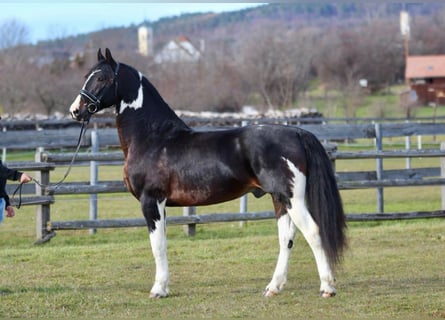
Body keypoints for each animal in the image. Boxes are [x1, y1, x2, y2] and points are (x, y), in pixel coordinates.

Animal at [69, 48, 346, 298]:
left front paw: (158, 290)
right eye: (86, 75)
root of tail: (297, 132)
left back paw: (327, 287)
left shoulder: (151, 200)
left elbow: (157, 246)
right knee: (286, 237)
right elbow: (163, 243)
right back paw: (273, 288)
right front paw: (164, 287)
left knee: (313, 232)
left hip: (292, 199)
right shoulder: (161, 204)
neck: (154, 137)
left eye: (102, 78)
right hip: (280, 199)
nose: (76, 110)